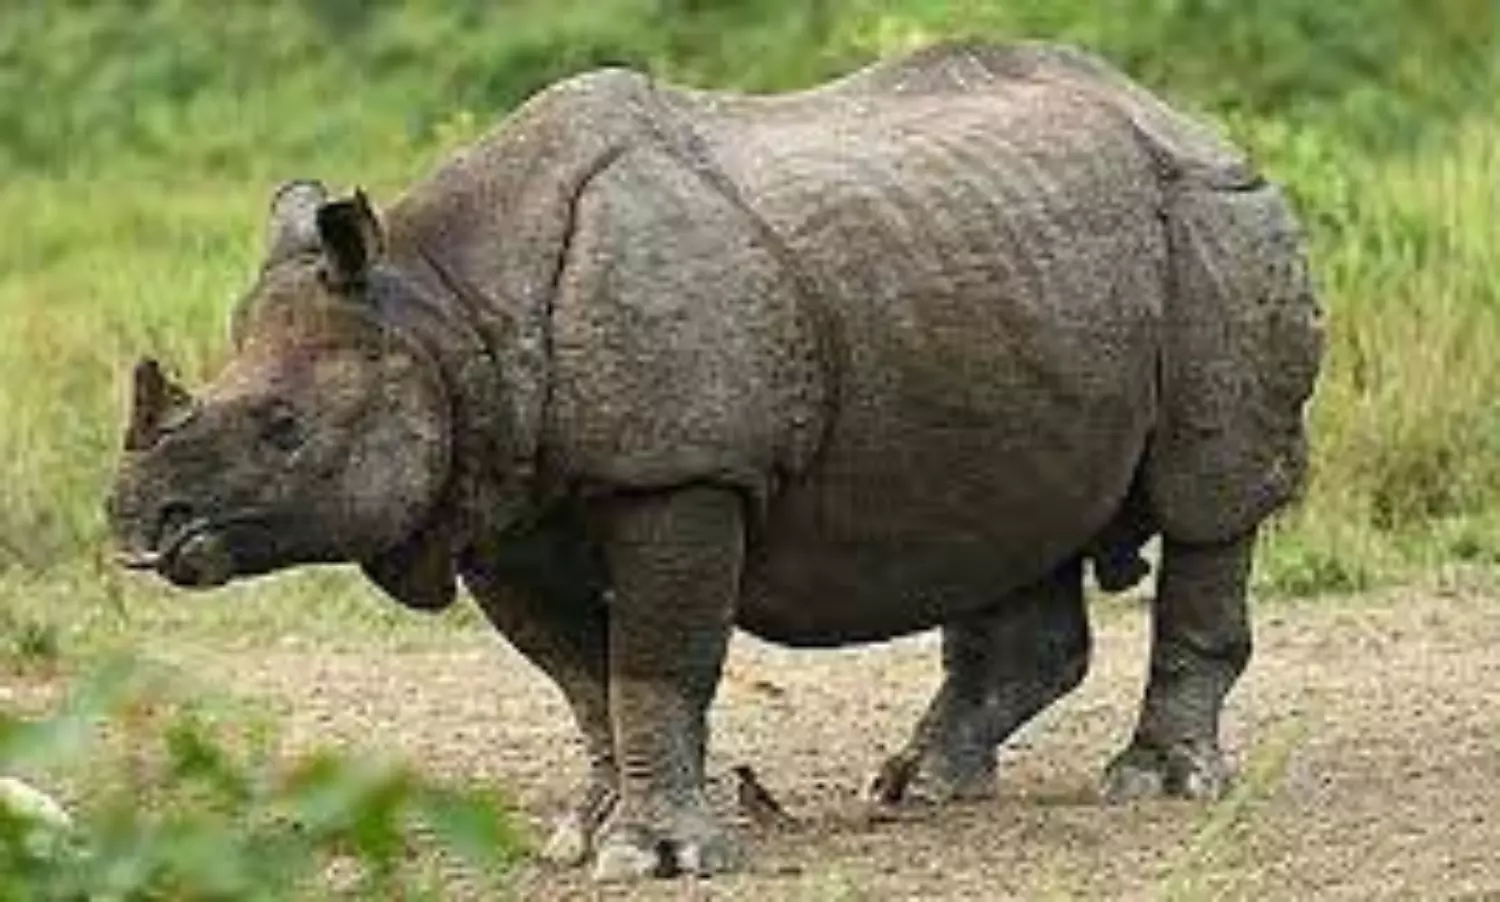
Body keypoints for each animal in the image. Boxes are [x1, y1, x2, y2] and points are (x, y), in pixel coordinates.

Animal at [106, 41, 1322, 880]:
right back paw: (919, 786)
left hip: (1218, 223)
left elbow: (656, 657)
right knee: (1010, 513)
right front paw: (585, 831)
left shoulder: (682, 471)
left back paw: (1154, 785)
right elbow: (580, 674)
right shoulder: (501, 498)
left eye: (283, 429)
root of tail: (1190, 117)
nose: (134, 523)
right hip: (1026, 266)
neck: (446, 308)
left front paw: (658, 856)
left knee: (1210, 503)